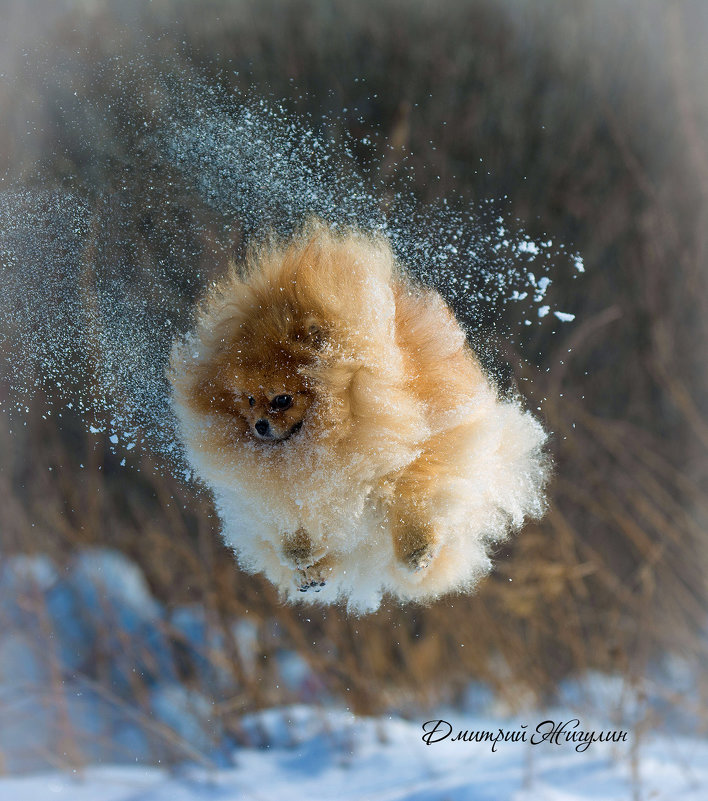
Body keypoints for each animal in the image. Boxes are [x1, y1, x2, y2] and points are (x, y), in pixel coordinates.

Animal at [167, 219, 548, 612]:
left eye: (282, 400)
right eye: (249, 400)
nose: (259, 425)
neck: (332, 435)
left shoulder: (412, 449)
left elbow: (412, 499)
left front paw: (416, 552)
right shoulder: (285, 490)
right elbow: (292, 521)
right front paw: (302, 555)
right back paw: (311, 574)